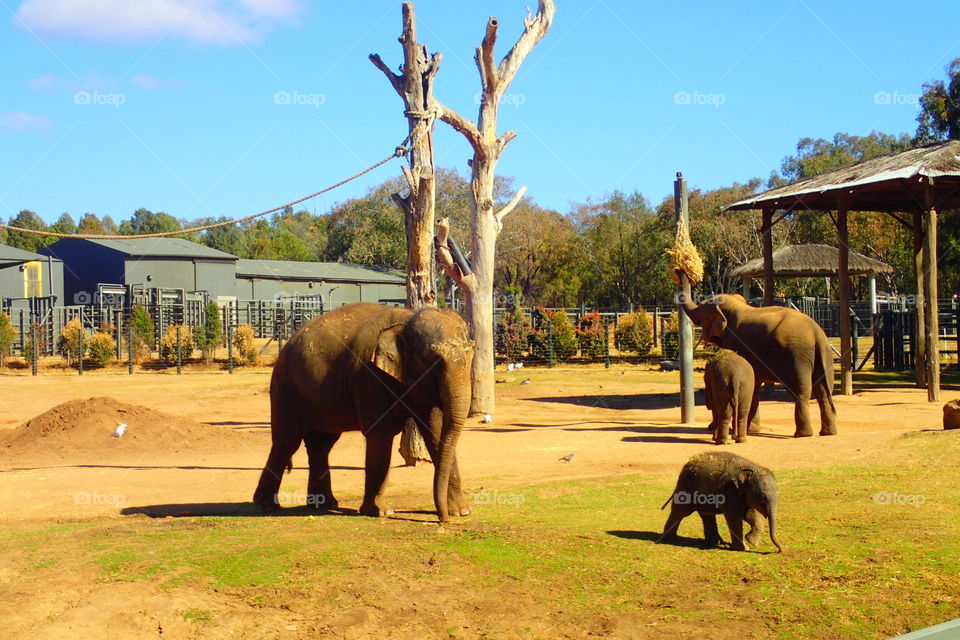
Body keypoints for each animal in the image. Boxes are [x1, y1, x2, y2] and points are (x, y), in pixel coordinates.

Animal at [252, 302, 474, 522]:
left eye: (471, 355)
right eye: (434, 362)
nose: (442, 518)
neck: (406, 320)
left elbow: (435, 433)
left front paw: (461, 511)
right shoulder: (368, 377)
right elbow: (380, 436)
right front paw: (381, 512)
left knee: (321, 444)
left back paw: (323, 504)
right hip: (285, 390)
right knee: (287, 442)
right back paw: (267, 506)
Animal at [678, 277, 837, 438]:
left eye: (701, 313)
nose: (682, 273)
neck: (736, 306)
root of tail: (816, 333)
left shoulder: (735, 342)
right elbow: (754, 385)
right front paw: (752, 431)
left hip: (797, 356)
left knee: (801, 391)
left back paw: (803, 434)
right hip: (823, 355)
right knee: (823, 392)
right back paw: (828, 433)